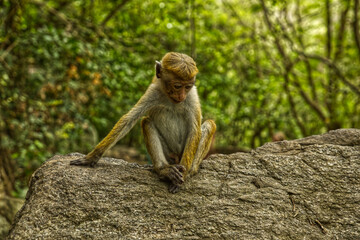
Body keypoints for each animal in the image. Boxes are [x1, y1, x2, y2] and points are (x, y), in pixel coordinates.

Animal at [70, 52, 217, 193]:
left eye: (187, 87)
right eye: (177, 86)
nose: (181, 96)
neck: (171, 99)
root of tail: (175, 158)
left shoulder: (192, 96)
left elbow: (194, 131)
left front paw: (183, 175)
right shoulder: (153, 91)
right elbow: (129, 119)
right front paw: (91, 157)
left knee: (210, 124)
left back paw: (190, 170)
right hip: (168, 154)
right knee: (146, 122)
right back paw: (163, 169)